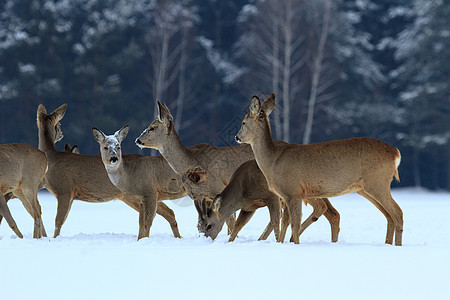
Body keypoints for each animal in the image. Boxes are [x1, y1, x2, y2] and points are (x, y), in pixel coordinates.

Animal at [37, 103, 185, 239]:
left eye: (58, 124)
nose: (61, 134)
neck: (51, 157)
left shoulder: (65, 190)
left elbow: (58, 221)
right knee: (168, 212)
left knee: (165, 213)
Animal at [135, 102, 340, 243]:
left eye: (152, 127)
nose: (137, 140)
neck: (189, 162)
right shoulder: (199, 196)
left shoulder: (219, 187)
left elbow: (229, 220)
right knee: (328, 211)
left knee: (319, 207)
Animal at [236, 92, 404, 245]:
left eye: (243, 122)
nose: (237, 137)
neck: (273, 160)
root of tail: (396, 152)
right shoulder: (287, 194)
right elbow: (285, 223)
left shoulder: (293, 191)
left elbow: (294, 224)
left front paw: (294, 244)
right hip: (365, 188)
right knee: (389, 216)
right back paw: (389, 244)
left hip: (378, 182)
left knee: (398, 213)